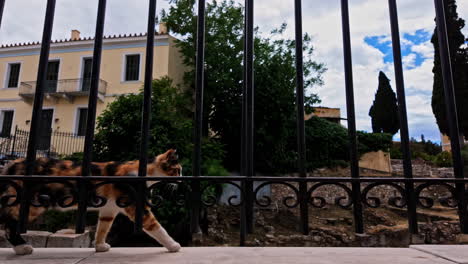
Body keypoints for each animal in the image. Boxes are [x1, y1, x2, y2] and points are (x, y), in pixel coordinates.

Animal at [0, 148, 182, 254]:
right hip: (31, 202)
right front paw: (173, 245)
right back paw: (22, 247)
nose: (181, 179)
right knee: (9, 223)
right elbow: (155, 226)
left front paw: (100, 246)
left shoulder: (109, 209)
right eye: (178, 170)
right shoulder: (135, 205)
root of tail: (10, 164)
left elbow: (103, 227)